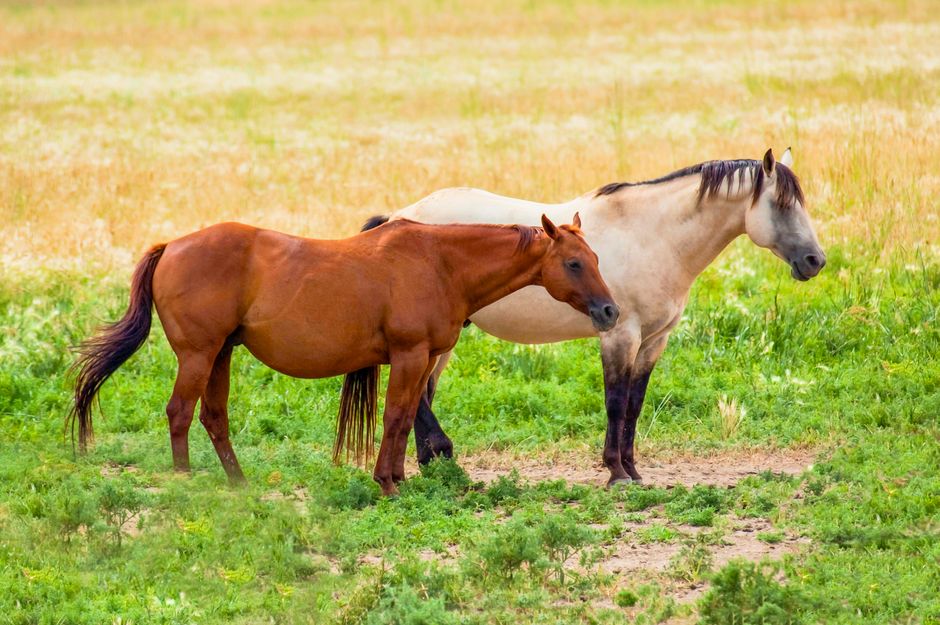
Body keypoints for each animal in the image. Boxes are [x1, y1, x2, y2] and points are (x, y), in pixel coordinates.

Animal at [70, 215, 619, 496]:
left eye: (595, 258)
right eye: (573, 263)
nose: (610, 311)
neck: (440, 262)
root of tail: (173, 245)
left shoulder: (421, 361)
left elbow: (403, 420)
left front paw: (397, 478)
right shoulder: (410, 356)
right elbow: (395, 417)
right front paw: (388, 485)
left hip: (220, 355)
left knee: (213, 417)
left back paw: (239, 483)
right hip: (199, 355)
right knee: (180, 413)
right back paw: (187, 482)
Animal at [366, 148, 826, 486]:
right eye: (781, 204)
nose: (815, 261)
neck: (653, 237)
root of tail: (398, 217)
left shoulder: (654, 340)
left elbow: (635, 404)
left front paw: (633, 469)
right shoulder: (620, 334)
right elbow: (615, 402)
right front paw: (616, 472)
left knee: (423, 395)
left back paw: (433, 463)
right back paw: (442, 455)